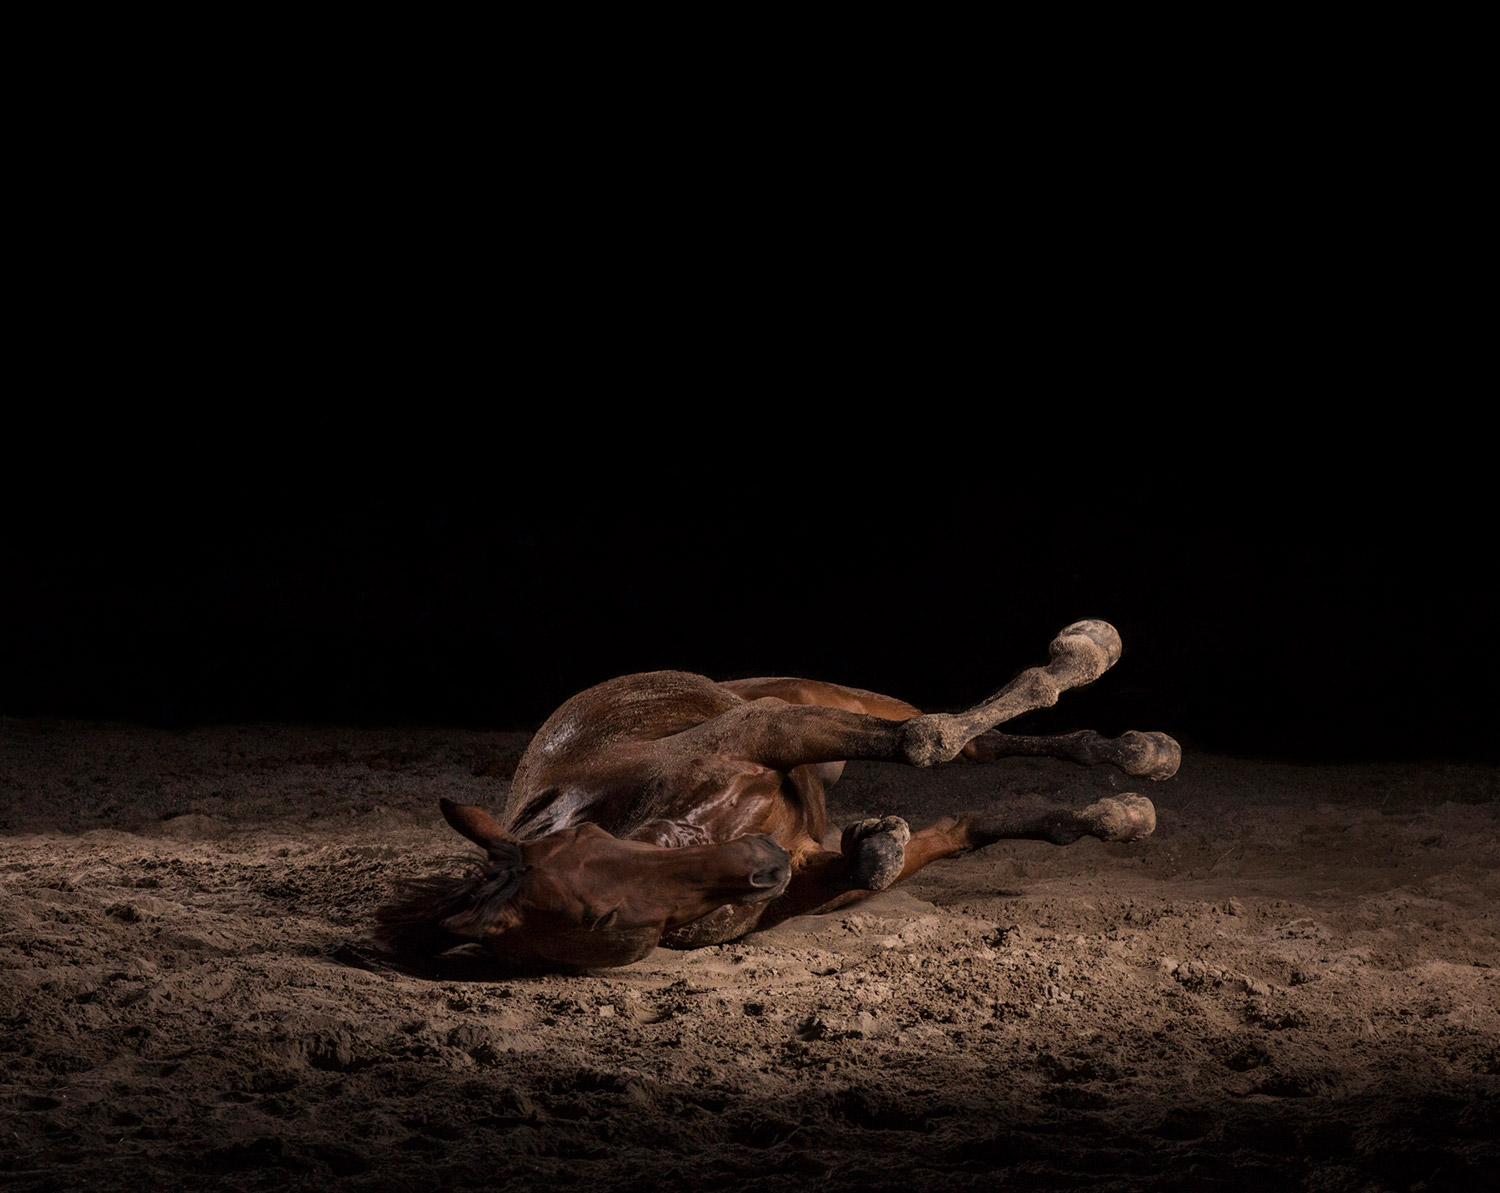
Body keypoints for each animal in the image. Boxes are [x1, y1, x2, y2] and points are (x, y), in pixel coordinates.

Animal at [374, 619, 1179, 973]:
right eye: (601, 920)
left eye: (593, 839)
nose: (761, 861)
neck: (688, 828)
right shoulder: (806, 874)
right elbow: (953, 828)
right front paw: (1109, 815)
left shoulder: (769, 728)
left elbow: (926, 744)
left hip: (822, 697)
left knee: (960, 732)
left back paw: (1120, 716)